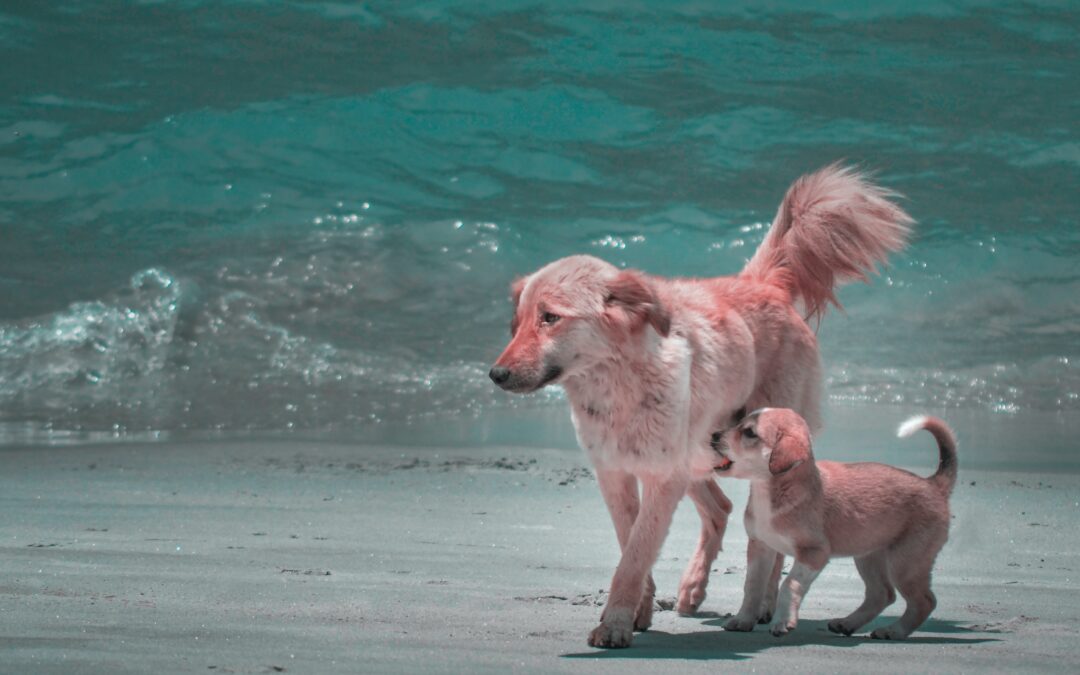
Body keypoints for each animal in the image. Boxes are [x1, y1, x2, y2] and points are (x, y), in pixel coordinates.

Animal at [490, 163, 911, 648]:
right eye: (516, 323)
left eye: (551, 318)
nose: (496, 375)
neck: (619, 387)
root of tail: (760, 283)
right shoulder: (615, 473)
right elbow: (630, 543)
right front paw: (638, 611)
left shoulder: (661, 477)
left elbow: (635, 554)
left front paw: (615, 623)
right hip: (699, 454)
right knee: (720, 509)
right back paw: (693, 588)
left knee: (768, 538)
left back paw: (763, 604)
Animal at [717, 408, 954, 639]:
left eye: (749, 433)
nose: (714, 436)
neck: (771, 490)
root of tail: (933, 484)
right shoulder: (761, 546)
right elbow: (752, 586)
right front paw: (743, 620)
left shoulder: (814, 553)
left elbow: (789, 584)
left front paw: (783, 621)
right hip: (868, 556)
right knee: (882, 595)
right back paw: (847, 624)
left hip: (905, 563)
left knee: (924, 601)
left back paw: (894, 631)